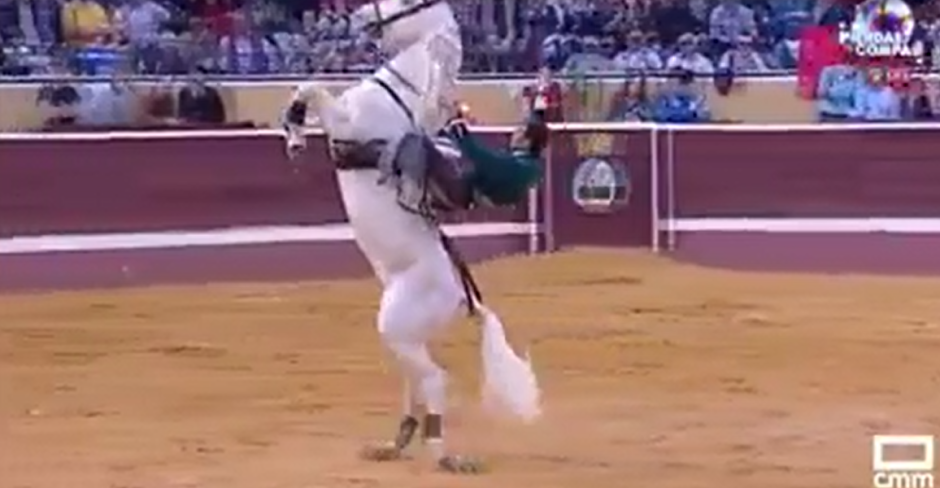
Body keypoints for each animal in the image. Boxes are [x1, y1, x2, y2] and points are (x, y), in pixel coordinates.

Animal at [282, 0, 541, 473]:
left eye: (405, 4)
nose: (358, 17)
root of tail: (461, 297)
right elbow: (309, 87)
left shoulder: (345, 120)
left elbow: (312, 88)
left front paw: (293, 133)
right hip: (408, 337)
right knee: (416, 382)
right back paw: (395, 443)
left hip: (396, 327)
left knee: (435, 380)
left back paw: (443, 454)